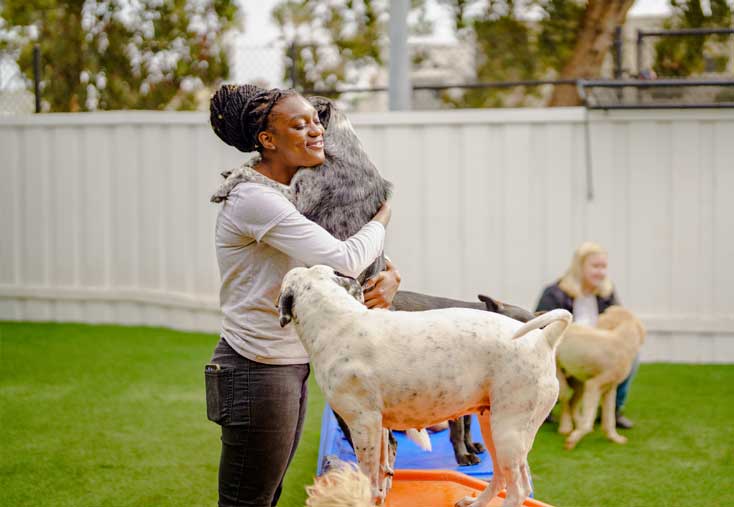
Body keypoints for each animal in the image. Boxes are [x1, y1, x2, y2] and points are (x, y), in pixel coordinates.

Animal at [278, 266, 576, 507]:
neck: (337, 320)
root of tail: (543, 339)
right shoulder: (378, 428)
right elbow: (382, 472)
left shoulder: (363, 425)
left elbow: (368, 476)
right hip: (494, 427)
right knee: (502, 478)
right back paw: (476, 502)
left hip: (509, 433)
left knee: (519, 489)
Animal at [556, 308, 644, 450]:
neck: (622, 342)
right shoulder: (594, 385)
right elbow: (589, 420)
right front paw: (574, 439)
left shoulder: (610, 389)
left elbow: (609, 419)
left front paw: (614, 438)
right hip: (562, 380)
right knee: (565, 402)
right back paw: (566, 427)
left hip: (581, 383)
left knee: (572, 403)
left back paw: (577, 423)